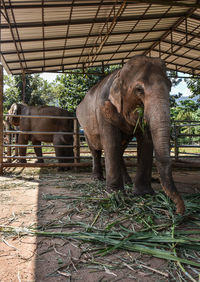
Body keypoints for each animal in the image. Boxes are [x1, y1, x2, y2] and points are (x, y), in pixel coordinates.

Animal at [76, 54, 184, 214]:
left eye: (170, 86)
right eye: (139, 89)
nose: (178, 211)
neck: (119, 74)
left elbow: (146, 142)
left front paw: (143, 194)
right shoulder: (102, 109)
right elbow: (111, 142)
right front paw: (115, 194)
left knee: (120, 150)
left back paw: (127, 181)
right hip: (85, 127)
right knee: (96, 150)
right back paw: (97, 179)